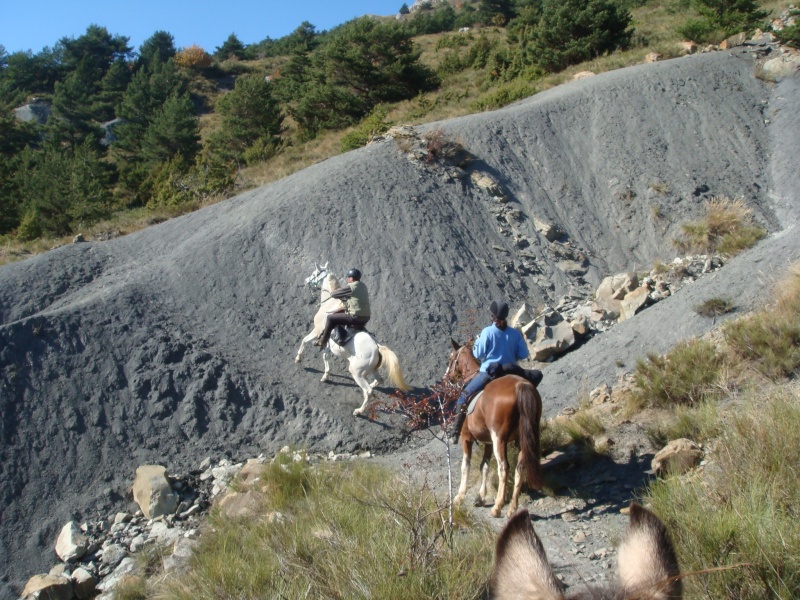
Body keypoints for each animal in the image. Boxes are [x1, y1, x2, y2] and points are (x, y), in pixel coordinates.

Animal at [294, 264, 410, 414]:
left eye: (315, 274)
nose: (306, 280)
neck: (330, 304)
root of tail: (377, 347)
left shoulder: (317, 331)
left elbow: (304, 341)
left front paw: (298, 358)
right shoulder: (327, 344)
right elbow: (325, 356)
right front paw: (326, 375)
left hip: (357, 372)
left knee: (368, 391)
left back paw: (359, 411)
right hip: (372, 370)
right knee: (379, 381)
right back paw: (373, 386)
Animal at [444, 340, 544, 516]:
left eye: (451, 359)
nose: (446, 377)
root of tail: (520, 385)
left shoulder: (467, 438)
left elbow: (466, 466)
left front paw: (459, 497)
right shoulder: (488, 443)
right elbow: (484, 466)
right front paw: (480, 498)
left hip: (499, 438)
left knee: (504, 467)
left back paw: (497, 506)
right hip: (523, 438)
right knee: (520, 467)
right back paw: (512, 508)